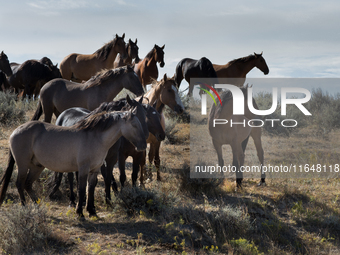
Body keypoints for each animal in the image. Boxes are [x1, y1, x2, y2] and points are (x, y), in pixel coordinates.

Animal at [0, 108, 147, 218]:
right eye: (134, 125)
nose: (143, 146)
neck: (95, 138)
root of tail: (15, 131)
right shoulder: (83, 169)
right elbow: (81, 190)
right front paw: (80, 212)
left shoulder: (94, 170)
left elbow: (90, 190)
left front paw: (91, 211)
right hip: (23, 165)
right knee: (20, 184)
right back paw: (24, 208)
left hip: (37, 167)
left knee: (28, 184)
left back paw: (37, 206)